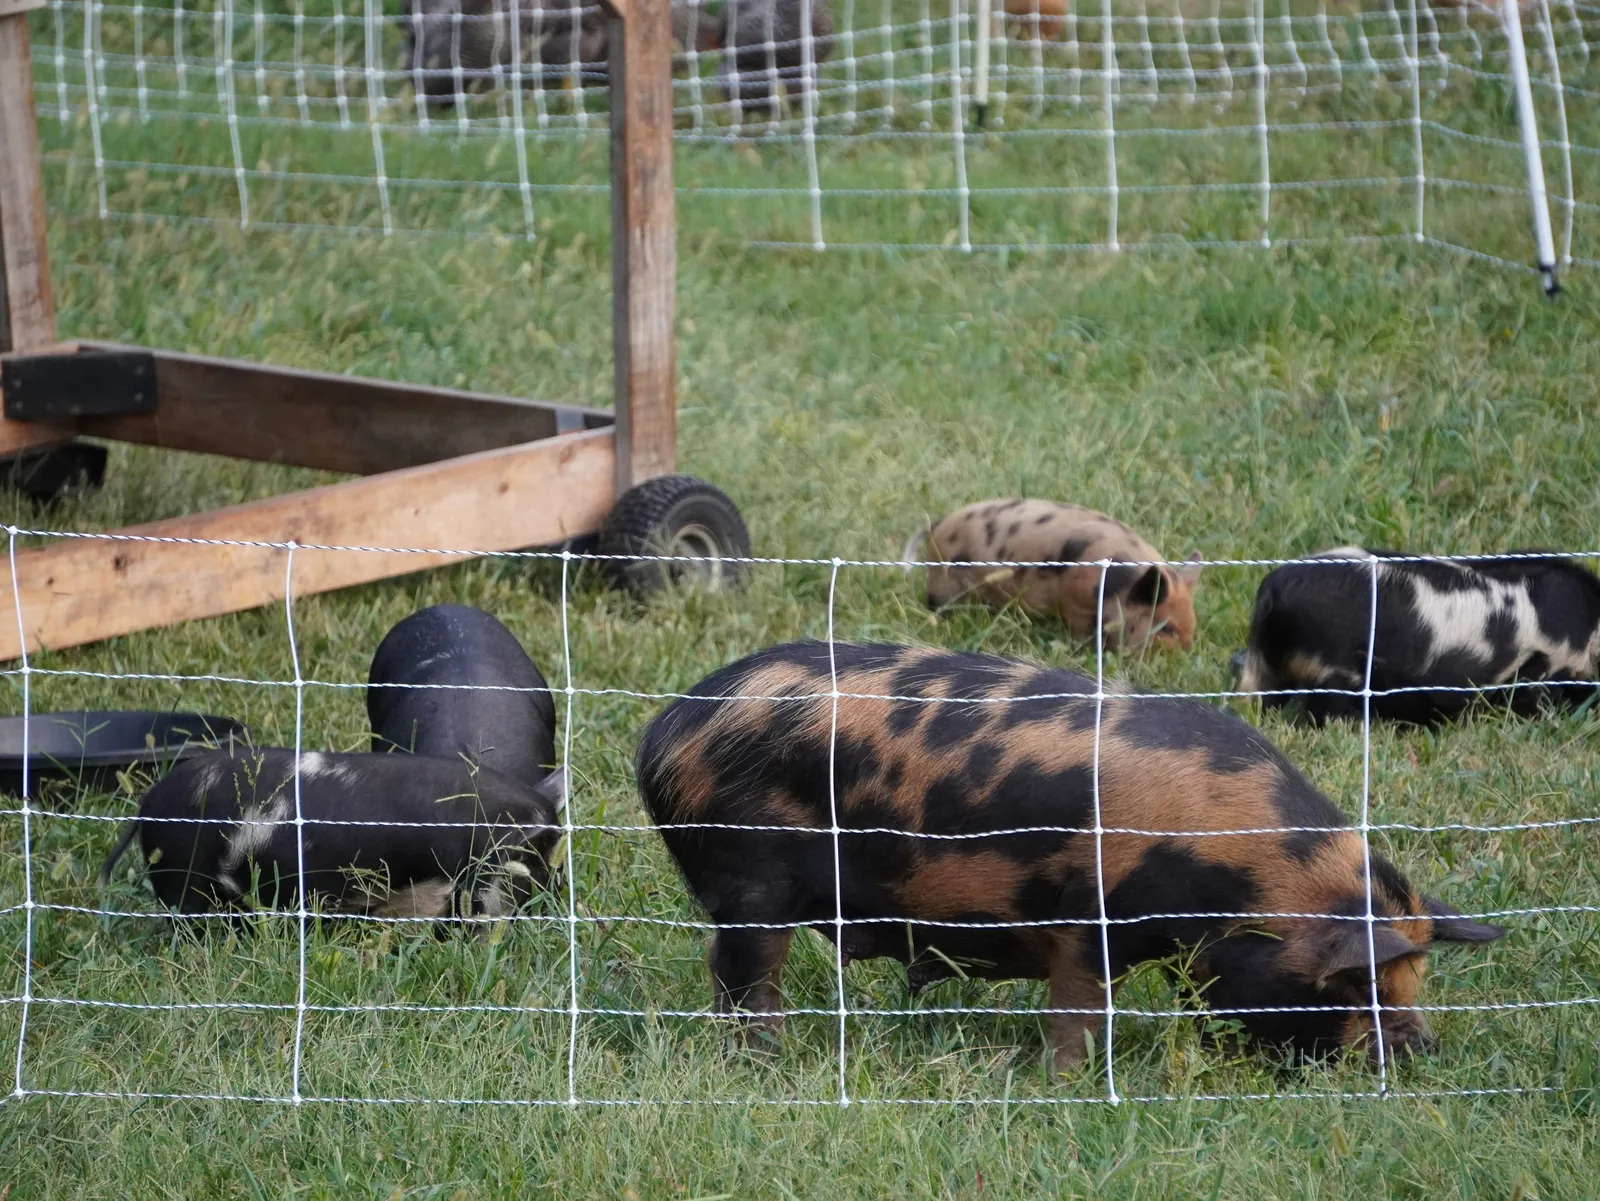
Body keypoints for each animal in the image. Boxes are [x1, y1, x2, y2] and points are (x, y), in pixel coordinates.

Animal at [636, 640, 1503, 1071]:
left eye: (1416, 976)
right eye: (1358, 982)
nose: (1421, 1051)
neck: (1240, 876)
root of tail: (668, 728)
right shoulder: (1091, 919)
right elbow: (1080, 1006)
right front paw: (1067, 1080)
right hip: (750, 878)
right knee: (741, 973)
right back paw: (764, 1062)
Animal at [904, 500, 1203, 651]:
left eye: (1191, 624)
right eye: (1166, 629)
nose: (1187, 652)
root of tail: (937, 526)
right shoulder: (1074, 604)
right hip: (943, 578)